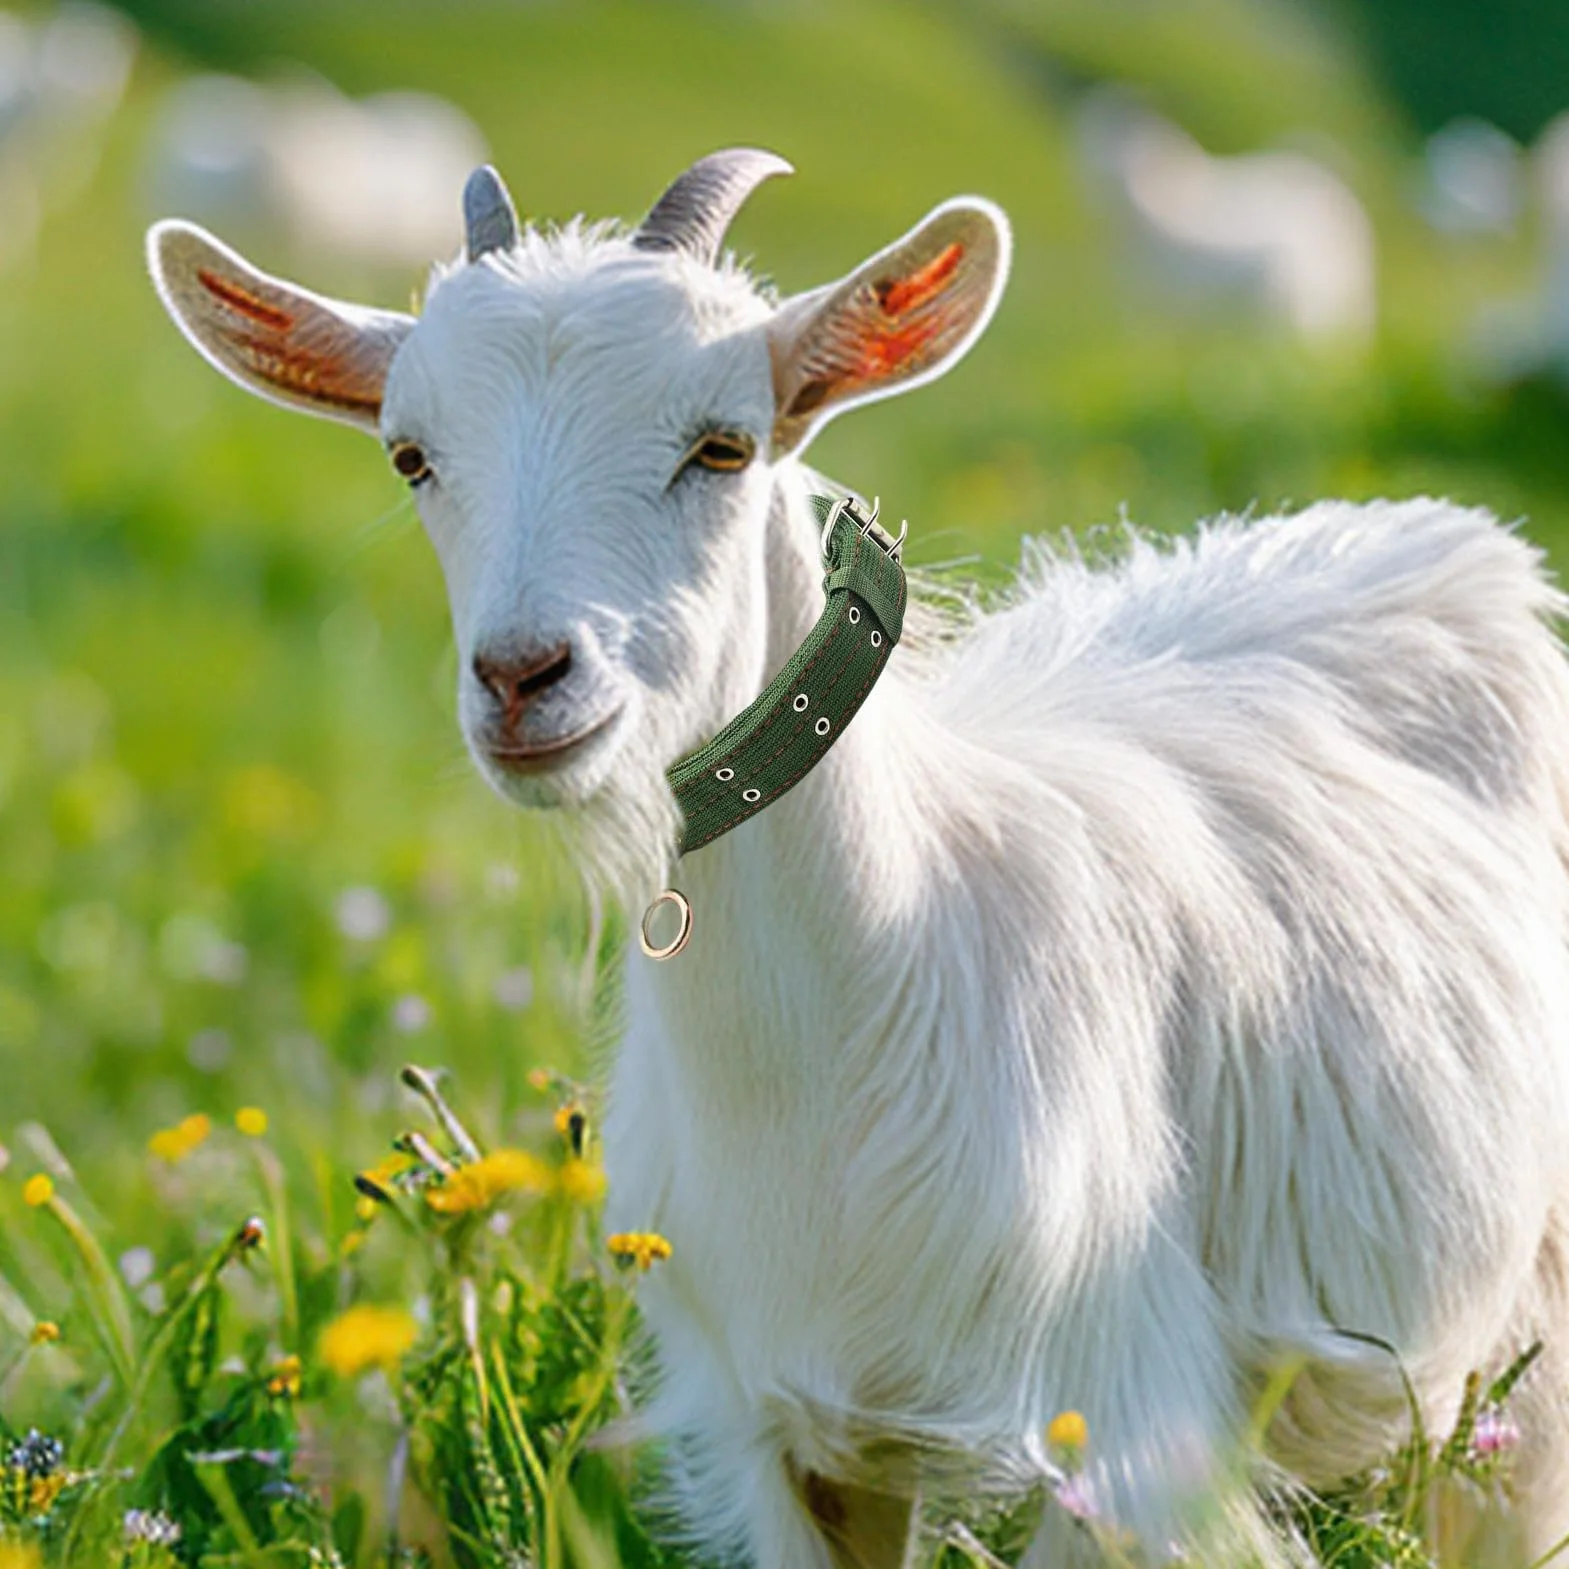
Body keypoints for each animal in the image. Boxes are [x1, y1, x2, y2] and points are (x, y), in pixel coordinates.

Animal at [144, 147, 1569, 1568]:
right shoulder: (795, 1443)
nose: (522, 678)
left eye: (722, 445)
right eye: (411, 455)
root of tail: (1444, 531)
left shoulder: (1126, 1436)